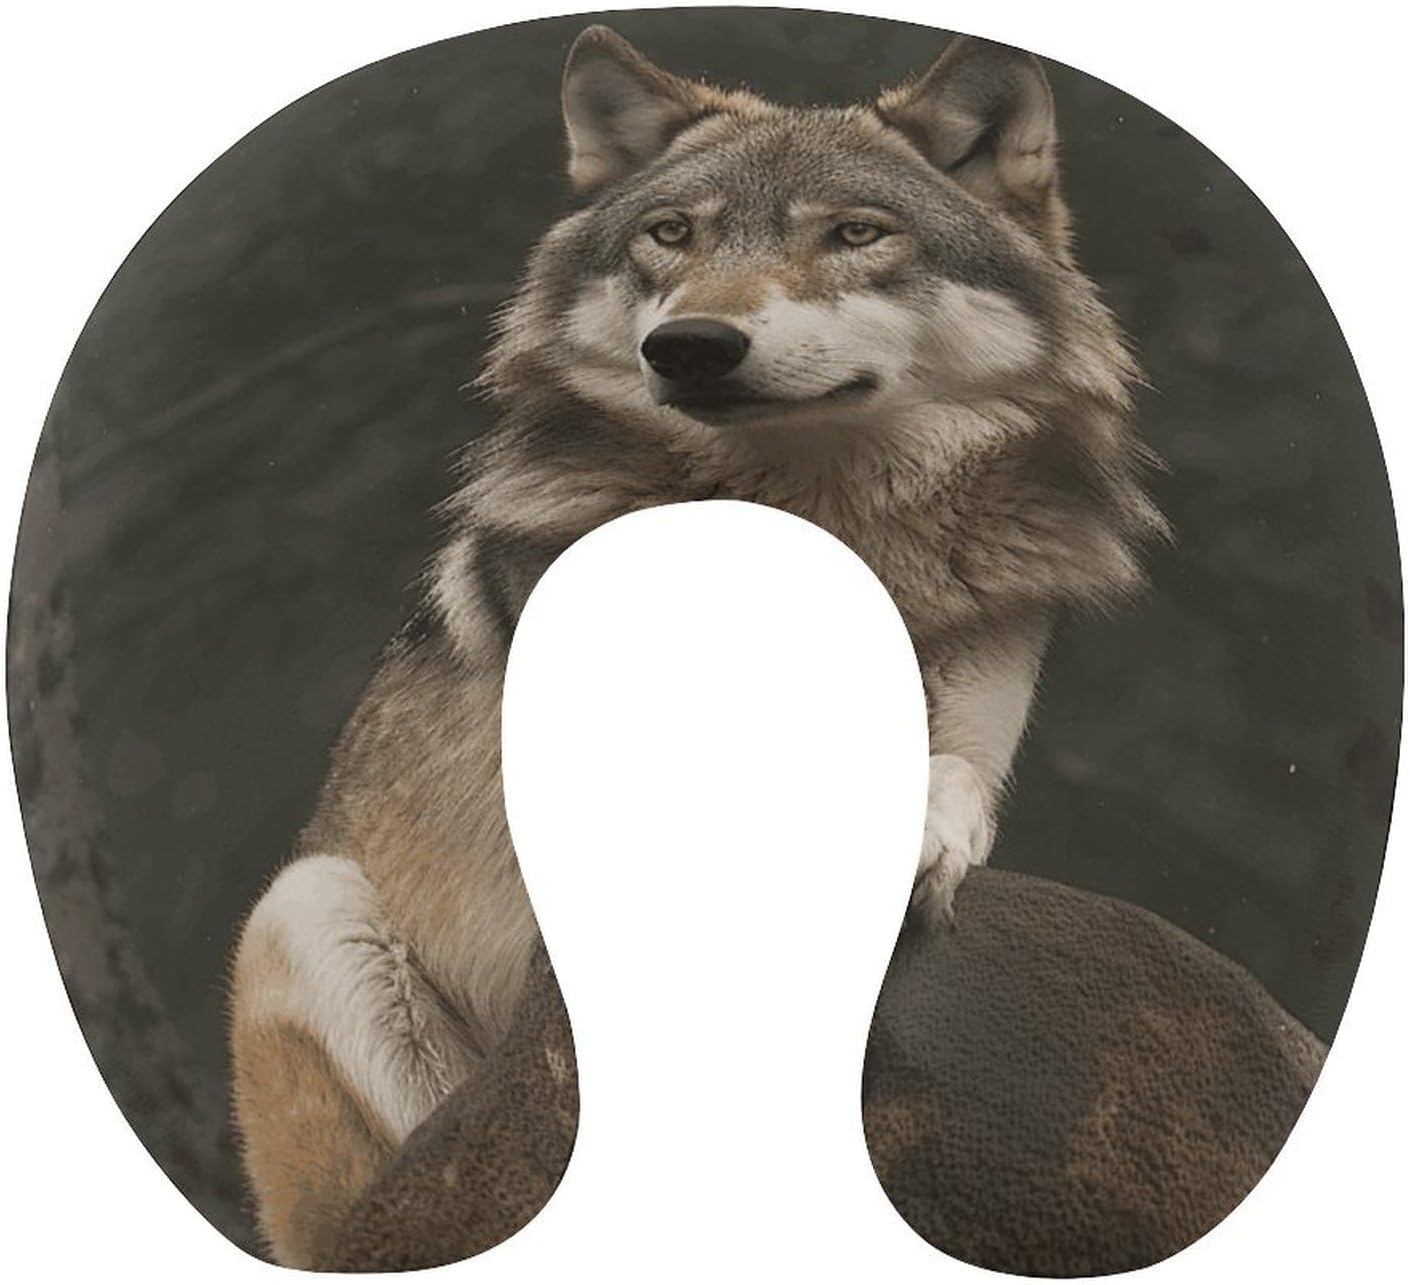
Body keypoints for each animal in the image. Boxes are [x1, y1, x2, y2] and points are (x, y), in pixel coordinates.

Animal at [229, 25, 1165, 1266]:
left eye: (855, 233)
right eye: (673, 233)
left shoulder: (975, 712)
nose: (691, 345)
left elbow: (948, 775)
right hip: (314, 911)